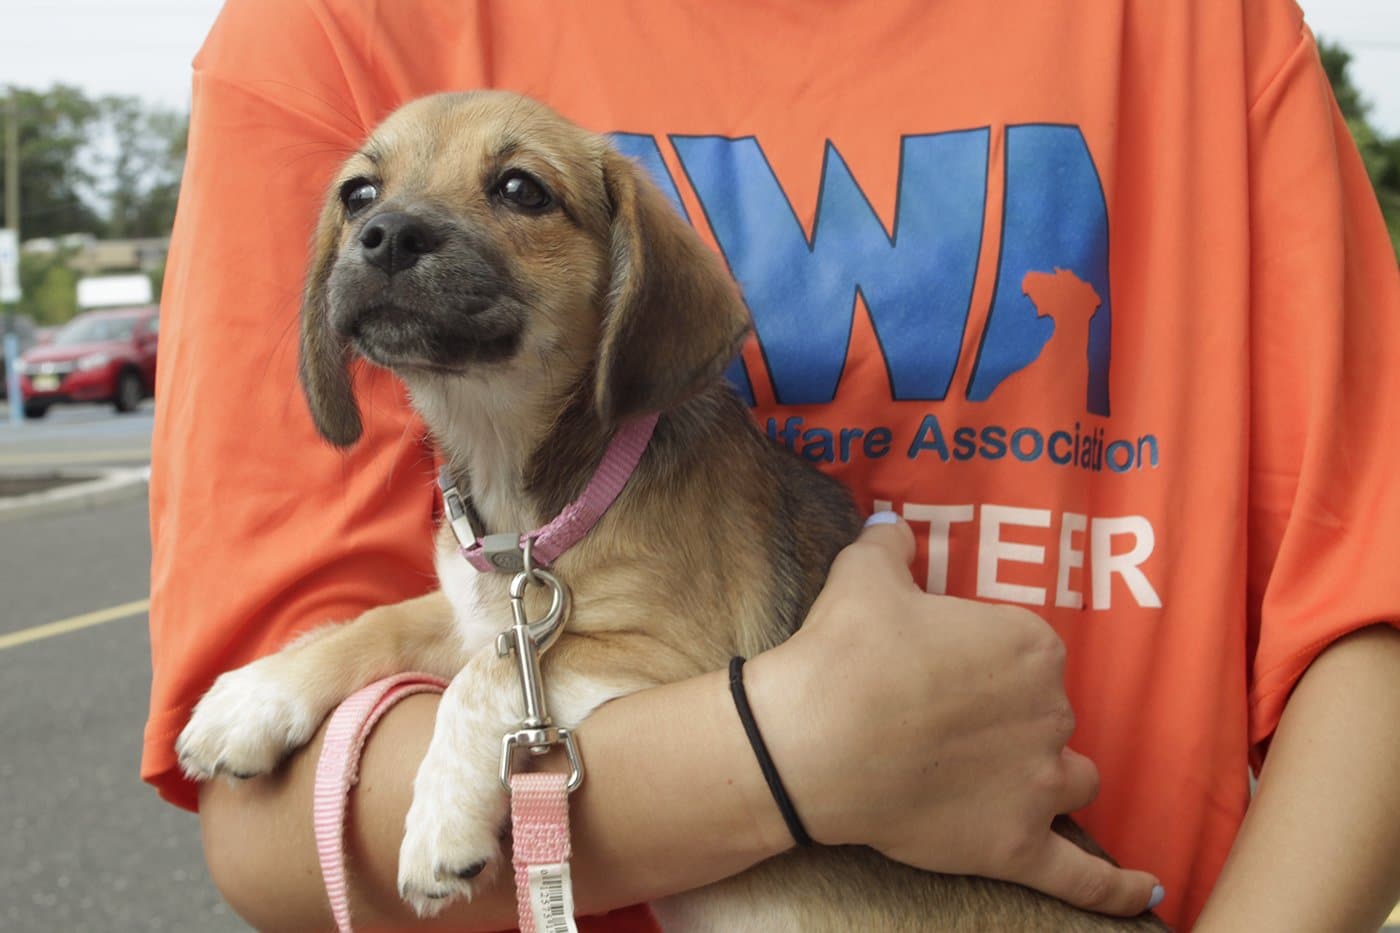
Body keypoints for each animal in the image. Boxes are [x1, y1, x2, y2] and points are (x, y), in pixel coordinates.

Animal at [175, 88, 1164, 930]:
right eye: (358, 192)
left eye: (522, 189)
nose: (383, 234)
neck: (533, 494)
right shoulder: (474, 610)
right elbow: (375, 621)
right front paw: (254, 693)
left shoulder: (666, 650)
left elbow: (486, 679)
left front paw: (441, 818)